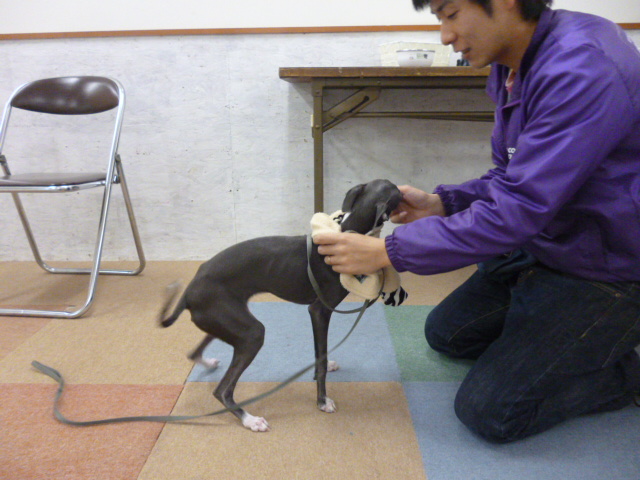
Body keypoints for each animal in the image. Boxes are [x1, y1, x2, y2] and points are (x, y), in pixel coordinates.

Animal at [158, 179, 402, 431]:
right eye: (398, 193)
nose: (408, 193)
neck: (347, 231)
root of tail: (188, 292)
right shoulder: (319, 311)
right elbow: (321, 359)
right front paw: (322, 400)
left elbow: (320, 354)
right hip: (250, 333)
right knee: (222, 390)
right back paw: (250, 420)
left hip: (223, 320)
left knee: (194, 352)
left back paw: (207, 363)